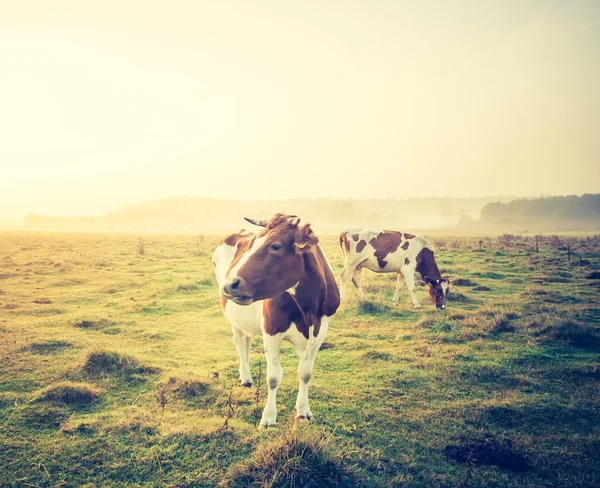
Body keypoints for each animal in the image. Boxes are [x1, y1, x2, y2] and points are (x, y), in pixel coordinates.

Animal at [212, 214, 340, 428]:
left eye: (276, 246)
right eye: (252, 244)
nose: (231, 284)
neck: (308, 310)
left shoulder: (320, 331)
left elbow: (305, 373)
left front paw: (303, 411)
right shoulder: (271, 330)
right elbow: (273, 377)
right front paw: (269, 418)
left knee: (246, 342)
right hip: (233, 317)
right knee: (239, 343)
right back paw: (245, 376)